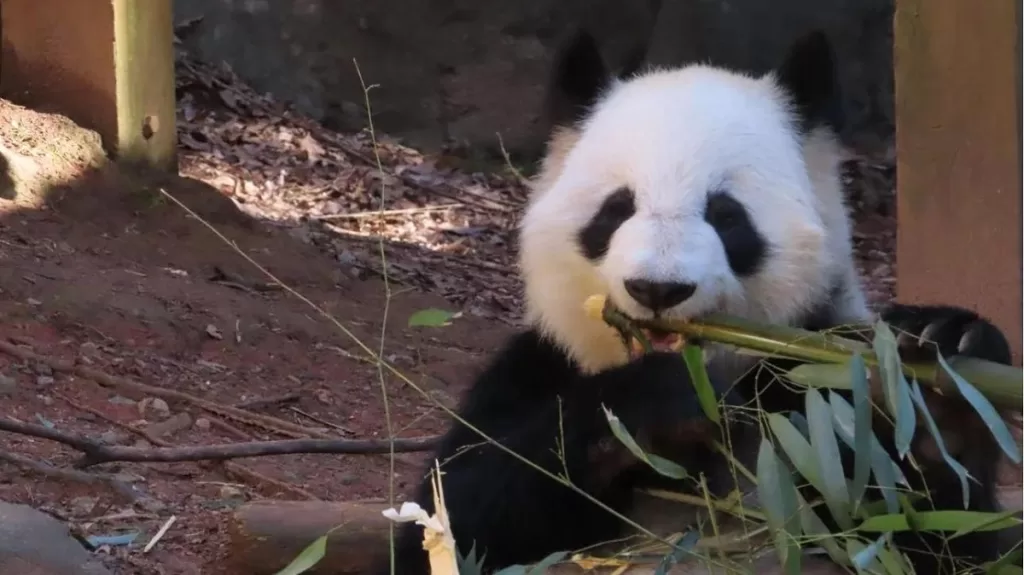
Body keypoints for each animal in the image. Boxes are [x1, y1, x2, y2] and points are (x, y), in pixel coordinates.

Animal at [380, 28, 1018, 575]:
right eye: (617, 209)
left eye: (727, 216)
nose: (658, 288)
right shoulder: (537, 368)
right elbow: (450, 523)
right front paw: (658, 395)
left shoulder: (814, 389)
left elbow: (947, 533)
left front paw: (937, 370)